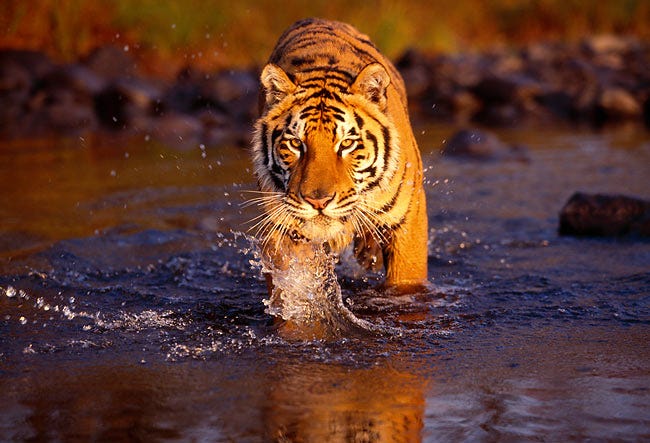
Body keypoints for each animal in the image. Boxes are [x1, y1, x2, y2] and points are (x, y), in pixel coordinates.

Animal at [250, 18, 428, 297]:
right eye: (296, 143)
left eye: (346, 144)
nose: (318, 201)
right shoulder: (283, 229)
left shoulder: (408, 221)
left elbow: (406, 281)